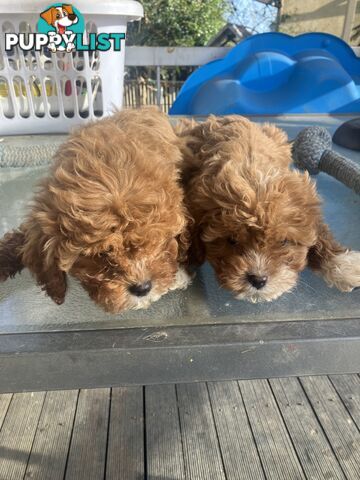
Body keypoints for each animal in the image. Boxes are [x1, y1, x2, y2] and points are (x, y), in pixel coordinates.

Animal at [177, 115, 360, 302]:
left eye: (284, 241)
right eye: (232, 240)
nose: (258, 280)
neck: (251, 168)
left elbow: (321, 231)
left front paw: (343, 263)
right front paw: (180, 268)